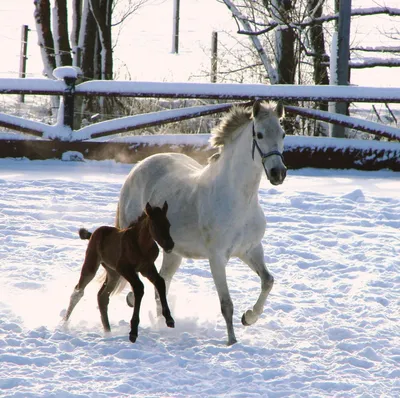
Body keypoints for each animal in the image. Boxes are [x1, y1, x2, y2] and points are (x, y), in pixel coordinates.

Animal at [114, 100, 286, 346]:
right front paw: (231, 341)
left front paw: (249, 317)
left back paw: (164, 324)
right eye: (260, 134)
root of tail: (137, 168)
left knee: (161, 284)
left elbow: (268, 281)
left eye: (283, 133)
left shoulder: (250, 250)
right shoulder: (217, 258)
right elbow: (226, 304)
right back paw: (135, 303)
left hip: (173, 253)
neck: (238, 199)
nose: (278, 173)